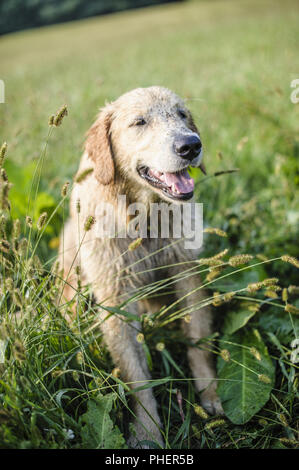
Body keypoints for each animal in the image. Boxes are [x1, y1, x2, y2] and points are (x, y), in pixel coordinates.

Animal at [59, 86, 223, 450]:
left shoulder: (187, 275)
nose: (191, 145)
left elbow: (199, 343)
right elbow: (137, 377)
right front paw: (147, 431)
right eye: (139, 122)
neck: (144, 216)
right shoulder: (116, 299)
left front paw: (210, 395)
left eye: (182, 115)